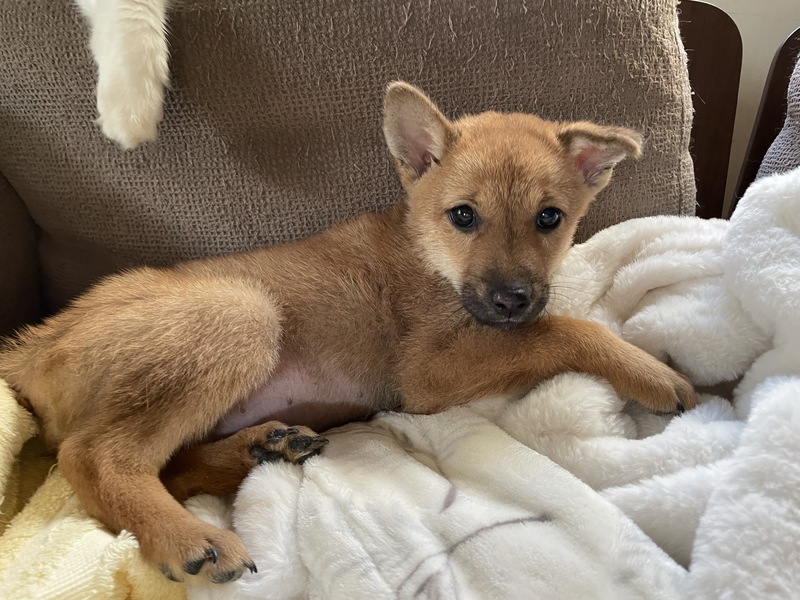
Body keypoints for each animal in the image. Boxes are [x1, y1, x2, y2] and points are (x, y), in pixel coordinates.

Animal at [0, 82, 696, 584]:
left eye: (550, 218)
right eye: (463, 216)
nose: (511, 299)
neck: (428, 255)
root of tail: (31, 346)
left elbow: (553, 322)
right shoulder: (429, 373)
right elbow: (564, 329)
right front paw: (655, 374)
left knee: (165, 464)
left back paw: (265, 446)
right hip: (241, 315)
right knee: (96, 456)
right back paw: (189, 536)